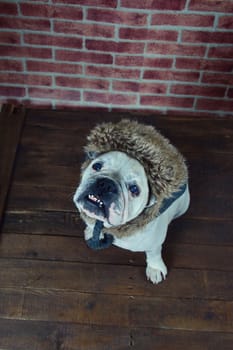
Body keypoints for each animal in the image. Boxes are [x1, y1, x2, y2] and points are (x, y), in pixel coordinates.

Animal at [73, 119, 189, 284]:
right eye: (96, 166)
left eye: (134, 189)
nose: (106, 184)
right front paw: (91, 230)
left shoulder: (154, 243)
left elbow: (154, 253)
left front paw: (155, 268)